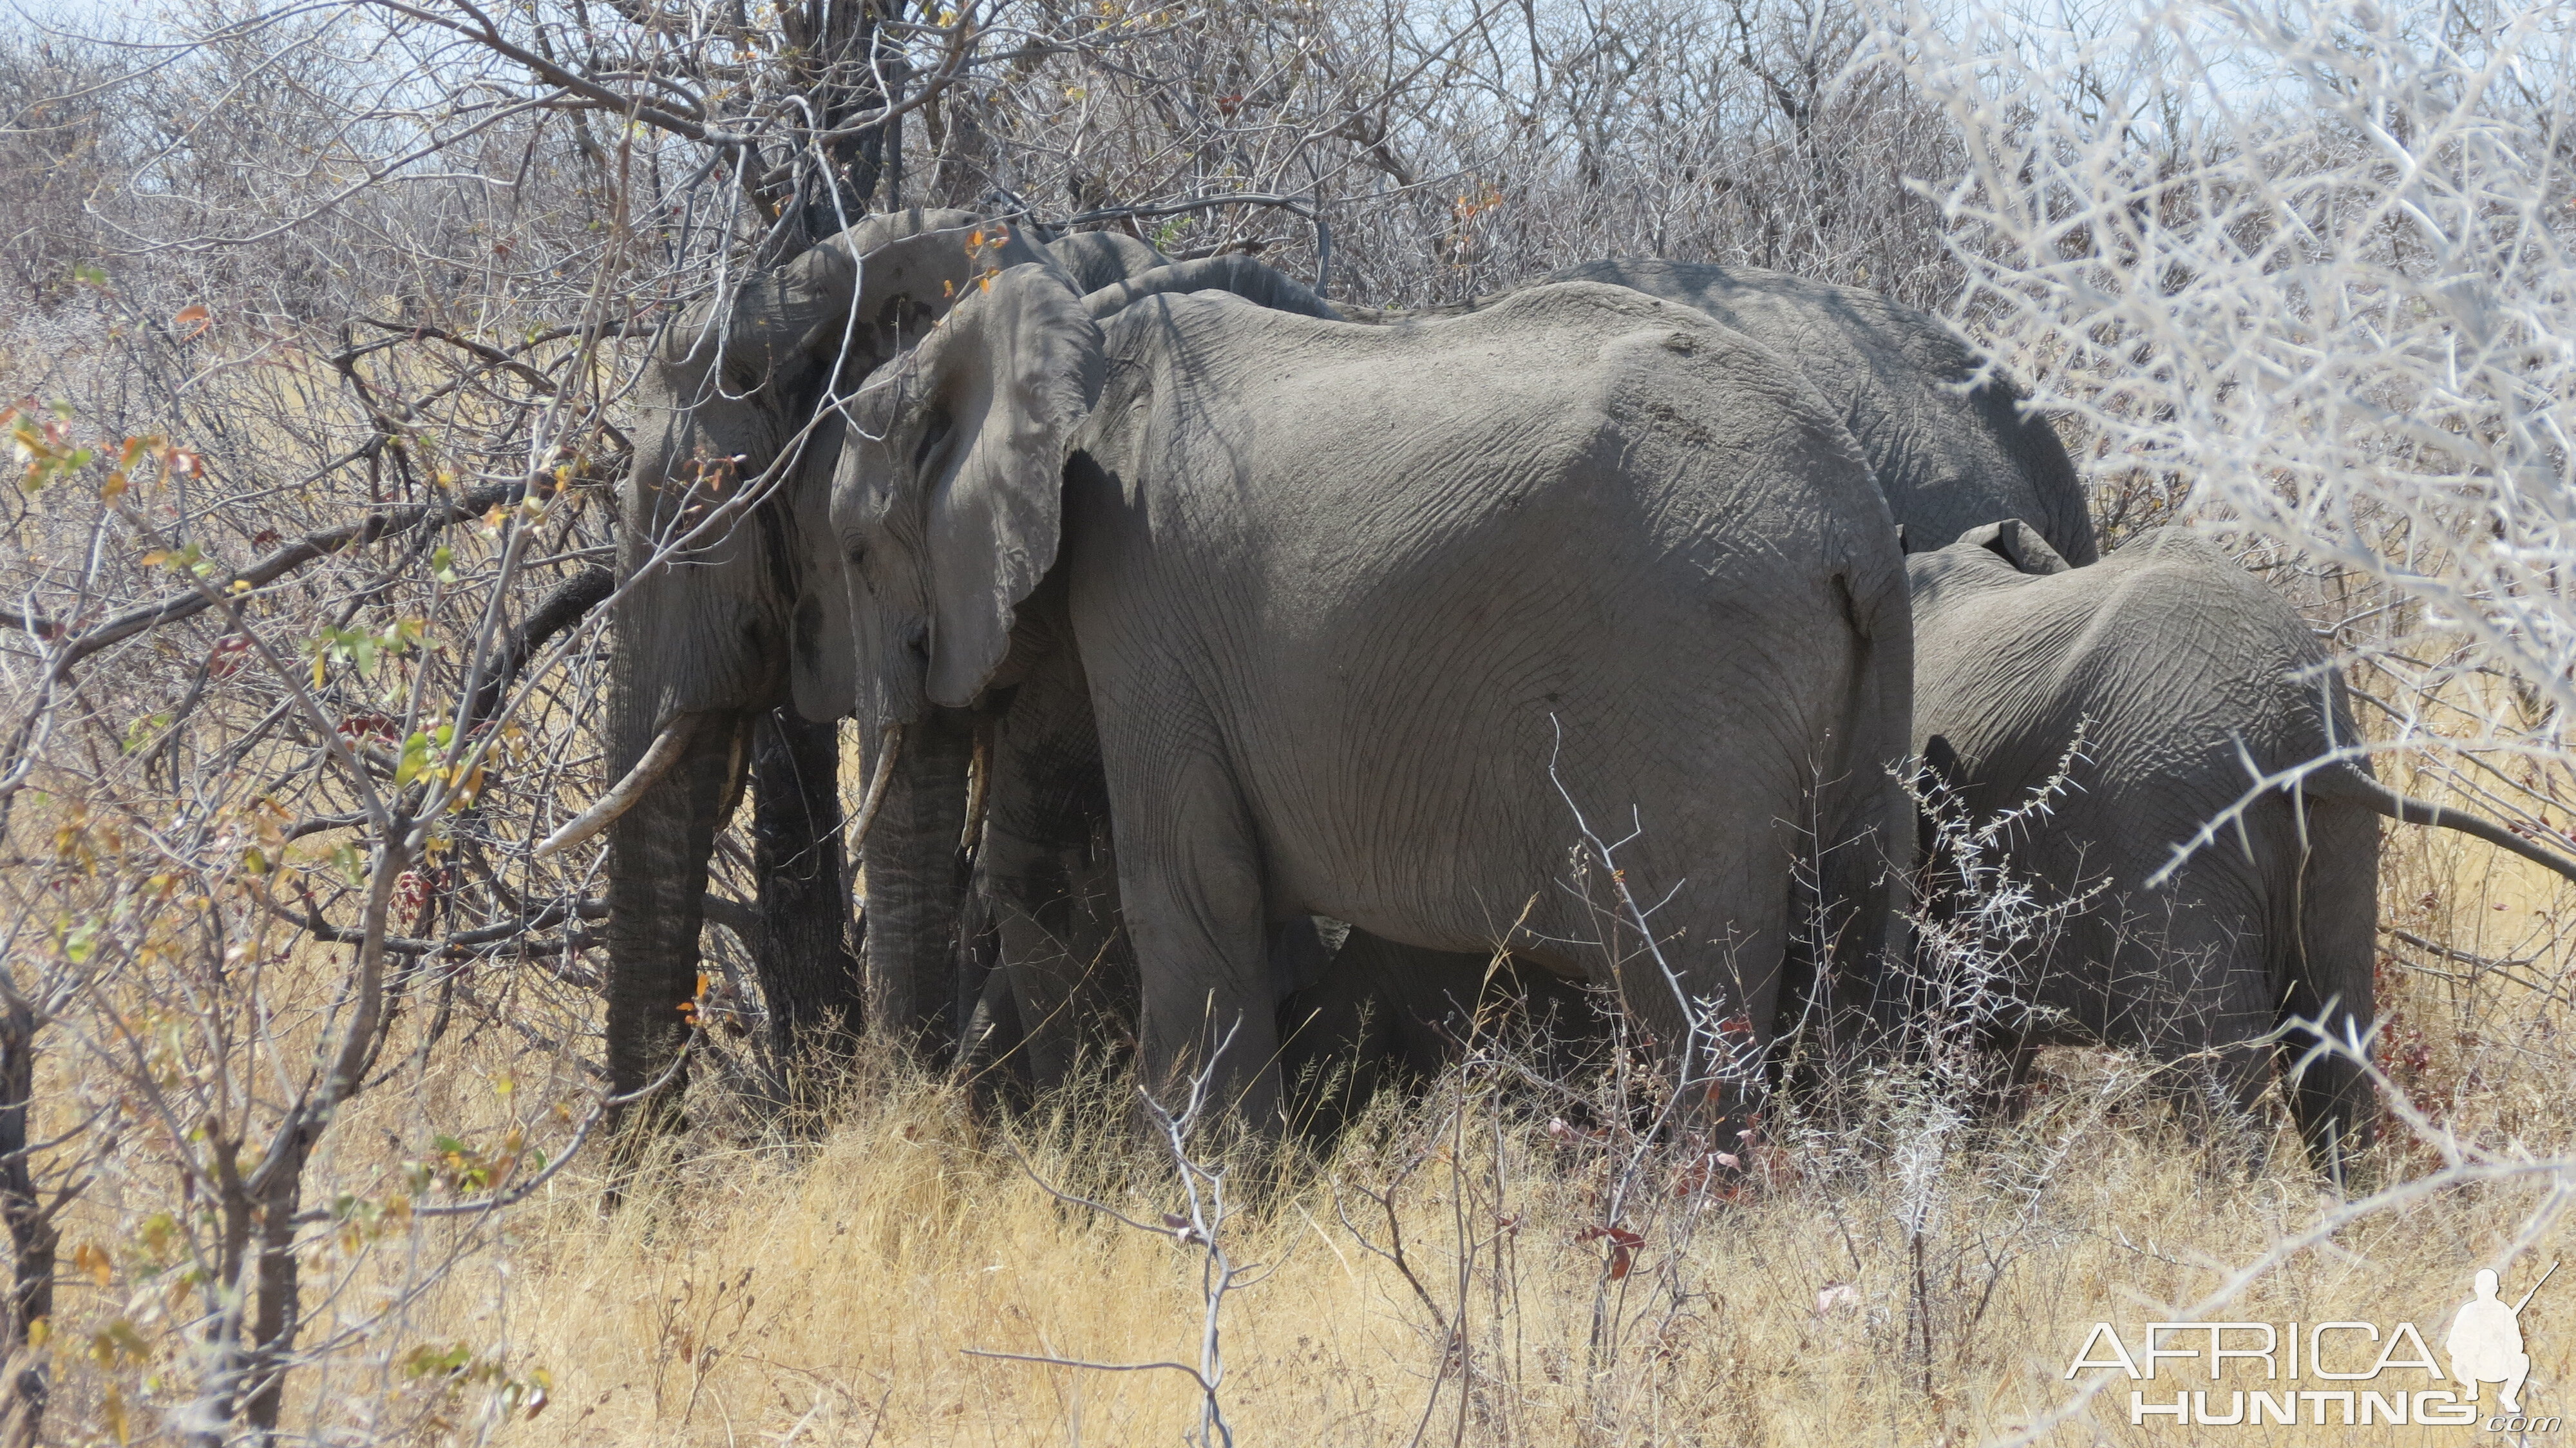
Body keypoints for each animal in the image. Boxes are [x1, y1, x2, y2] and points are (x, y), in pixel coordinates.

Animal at [814, 268, 1927, 1129]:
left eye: (858, 557)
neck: (1070, 330)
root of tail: (1857, 529)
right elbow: (1067, 854)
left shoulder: (1142, 596)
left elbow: (1184, 886)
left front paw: (1201, 1194)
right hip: (1854, 699)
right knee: (1857, 946)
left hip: (1688, 679)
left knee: (1691, 981)